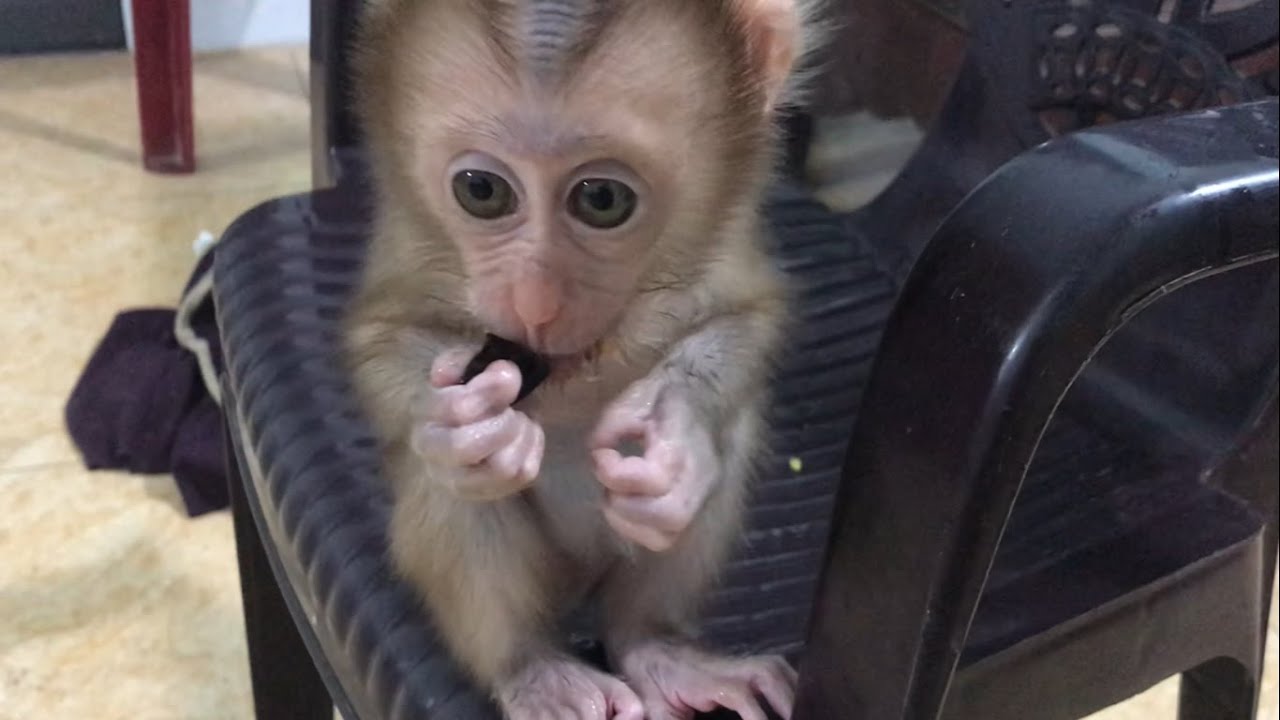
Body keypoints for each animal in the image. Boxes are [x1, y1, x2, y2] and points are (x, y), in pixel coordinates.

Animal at [342, 1, 824, 718]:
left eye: (602, 200)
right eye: (481, 190)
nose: (534, 302)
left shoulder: (726, 231)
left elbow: (748, 317)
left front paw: (676, 435)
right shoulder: (409, 236)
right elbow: (381, 336)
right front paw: (458, 425)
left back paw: (656, 648)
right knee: (453, 490)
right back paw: (532, 669)